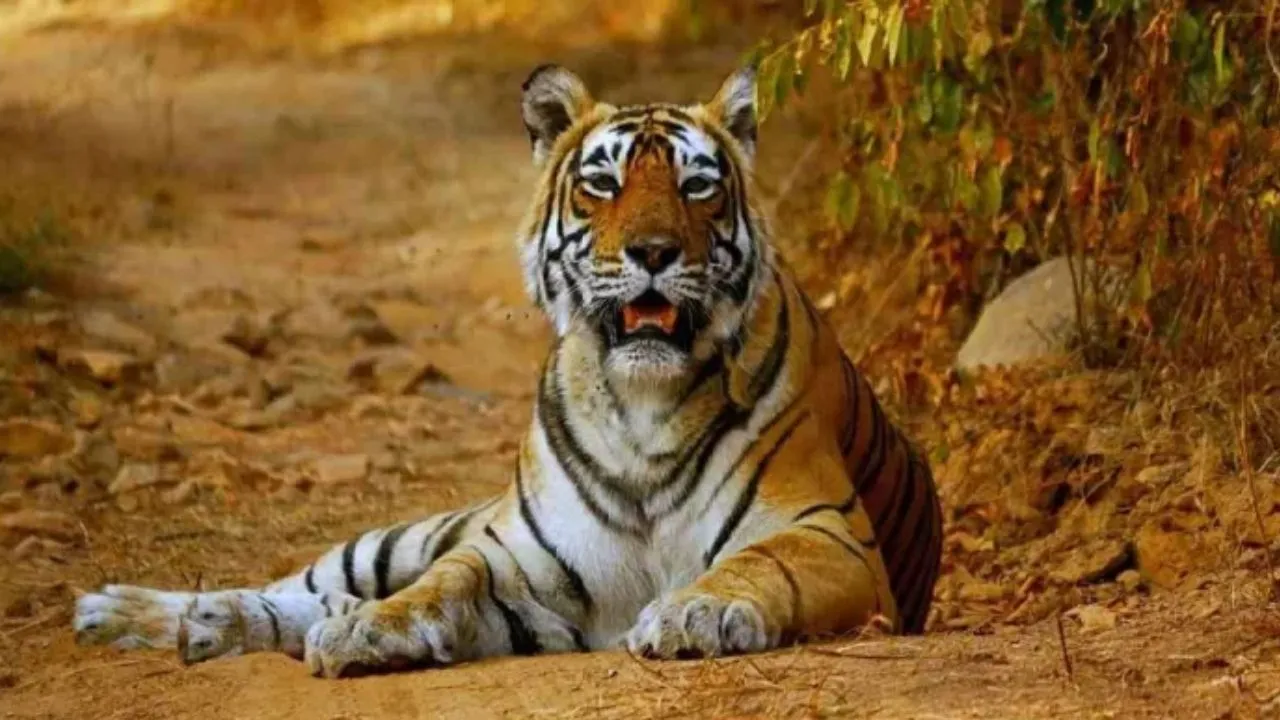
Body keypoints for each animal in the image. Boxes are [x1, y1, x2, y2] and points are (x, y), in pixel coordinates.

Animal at [72, 65, 943, 677]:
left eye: (698, 186)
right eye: (603, 184)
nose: (654, 252)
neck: (642, 404)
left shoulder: (829, 532)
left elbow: (758, 564)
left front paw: (691, 614)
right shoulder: (514, 555)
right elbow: (444, 583)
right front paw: (369, 628)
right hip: (397, 536)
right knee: (309, 581)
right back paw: (136, 613)